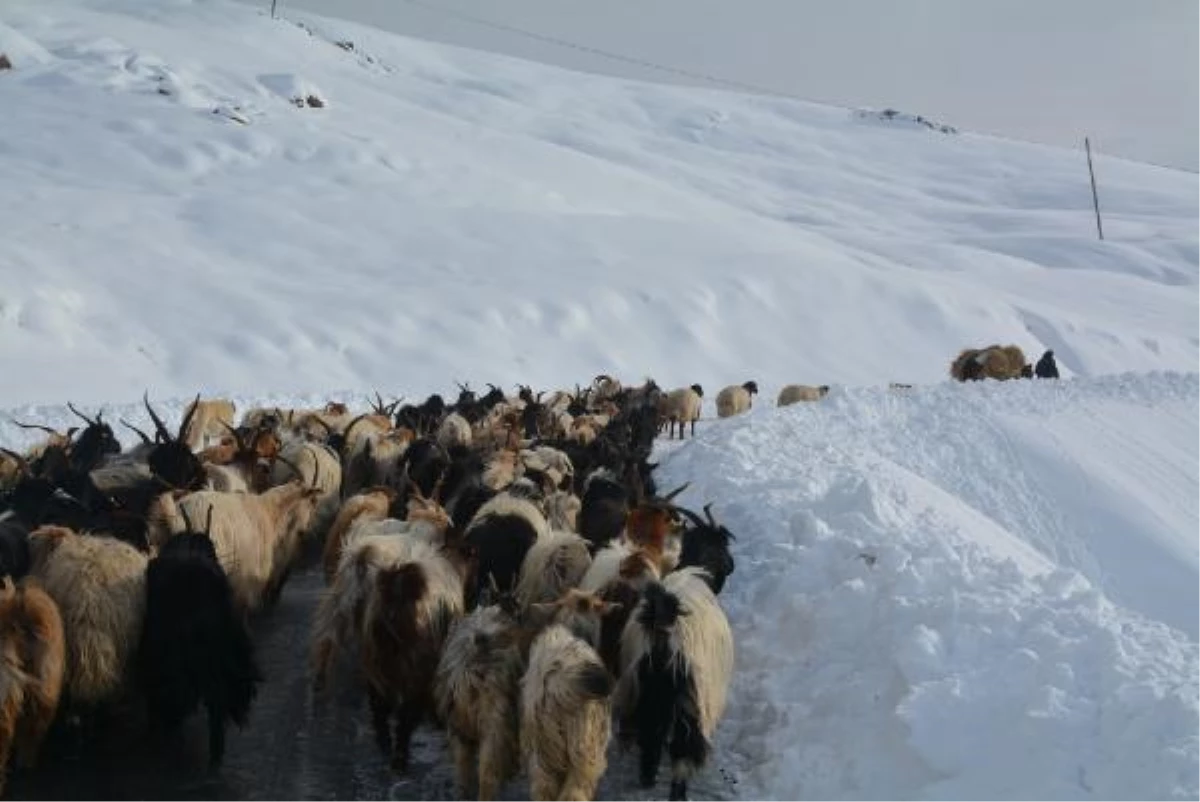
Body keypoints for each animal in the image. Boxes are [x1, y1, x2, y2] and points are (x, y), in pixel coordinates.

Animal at [619, 566, 729, 797]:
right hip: (686, 706)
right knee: (682, 753)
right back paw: (677, 792)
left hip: (648, 698)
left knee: (650, 742)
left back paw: (647, 780)